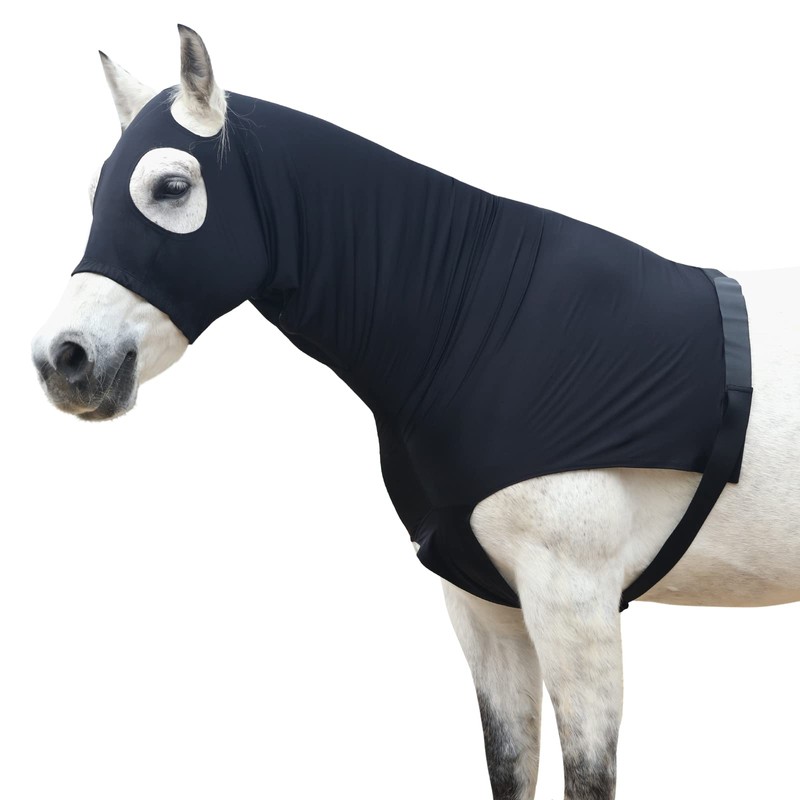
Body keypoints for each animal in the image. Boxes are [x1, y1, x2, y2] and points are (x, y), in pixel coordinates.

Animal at [31, 25, 800, 800]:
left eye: (171, 187)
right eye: (95, 193)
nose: (63, 359)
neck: (486, 329)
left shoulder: (574, 604)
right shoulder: (484, 606)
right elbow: (508, 765)